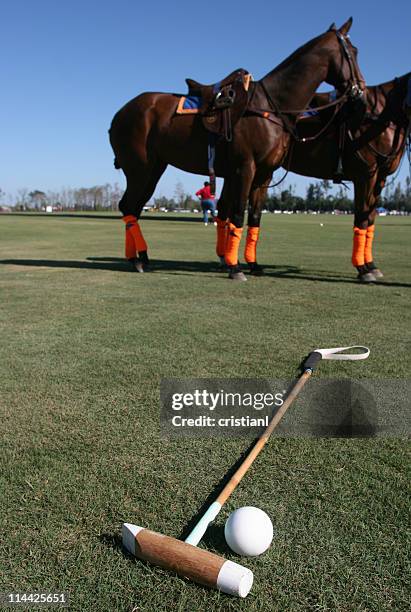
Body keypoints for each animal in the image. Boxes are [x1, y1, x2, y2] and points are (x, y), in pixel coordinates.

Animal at [108, 16, 364, 280]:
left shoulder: (264, 174)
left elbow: (255, 218)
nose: (360, 92)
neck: (272, 106)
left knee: (135, 207)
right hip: (139, 169)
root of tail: (119, 113)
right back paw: (135, 260)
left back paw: (142, 257)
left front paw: (253, 264)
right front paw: (234, 267)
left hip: (154, 169)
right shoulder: (245, 168)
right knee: (128, 205)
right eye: (353, 52)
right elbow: (239, 213)